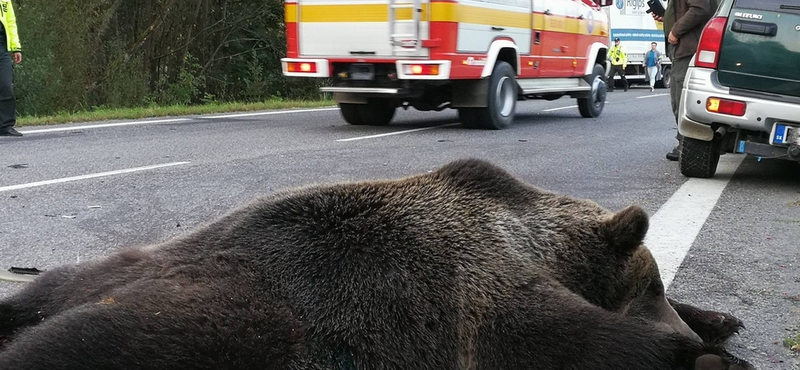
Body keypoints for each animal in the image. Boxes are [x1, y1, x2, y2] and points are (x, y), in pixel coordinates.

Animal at [0, 159, 752, 370]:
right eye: (648, 285)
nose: (683, 330)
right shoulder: (474, 287)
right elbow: (562, 333)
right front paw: (702, 357)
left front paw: (719, 322)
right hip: (222, 325)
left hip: (95, 272)